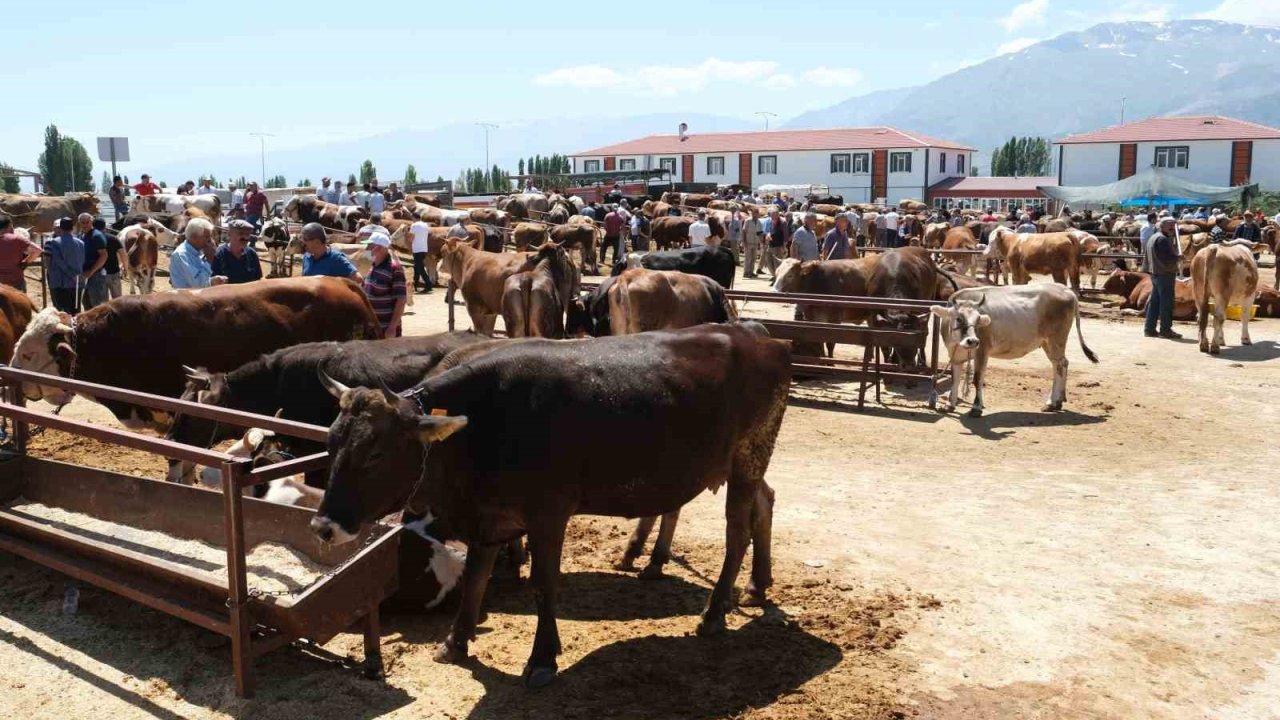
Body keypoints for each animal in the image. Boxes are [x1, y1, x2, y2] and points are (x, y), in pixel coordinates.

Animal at [309, 322, 788, 686]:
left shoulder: (548, 515)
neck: (484, 424)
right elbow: (476, 576)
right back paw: (756, 584)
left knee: (737, 532)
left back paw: (715, 612)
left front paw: (542, 659)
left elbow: (544, 584)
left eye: (375, 453)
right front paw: (455, 641)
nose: (323, 526)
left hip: (748, 457)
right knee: (765, 502)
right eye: (331, 442)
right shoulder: (490, 516)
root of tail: (755, 332)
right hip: (743, 463)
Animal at [931, 281, 1100, 415]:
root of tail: (1065, 289)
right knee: (1059, 364)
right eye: (959, 318)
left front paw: (976, 408)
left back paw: (1052, 402)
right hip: (1047, 342)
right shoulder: (954, 355)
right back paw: (1057, 402)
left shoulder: (982, 350)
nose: (972, 341)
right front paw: (950, 404)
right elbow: (955, 378)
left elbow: (978, 378)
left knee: (1060, 364)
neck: (958, 343)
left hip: (1056, 339)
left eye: (978, 319)